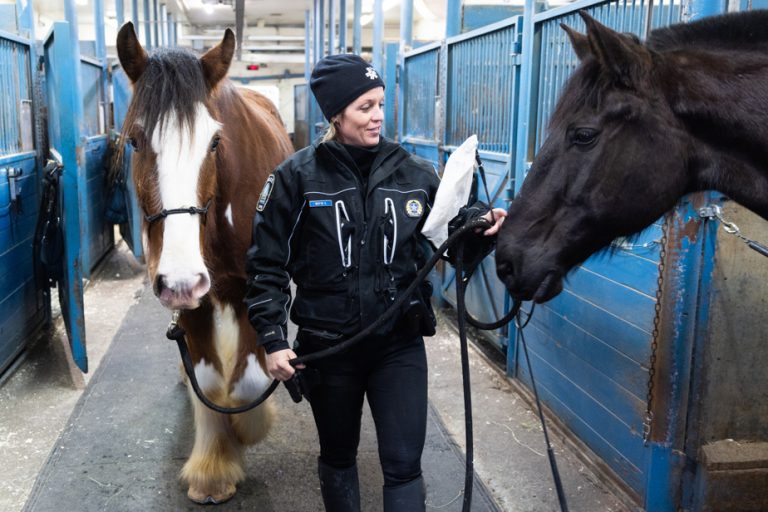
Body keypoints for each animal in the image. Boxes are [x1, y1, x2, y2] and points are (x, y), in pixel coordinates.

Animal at [115, 22, 292, 502]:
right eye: (135, 140)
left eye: (214, 143)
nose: (181, 279)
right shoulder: (188, 297)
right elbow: (208, 380)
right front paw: (213, 466)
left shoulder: (252, 287)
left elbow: (249, 381)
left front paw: (250, 425)